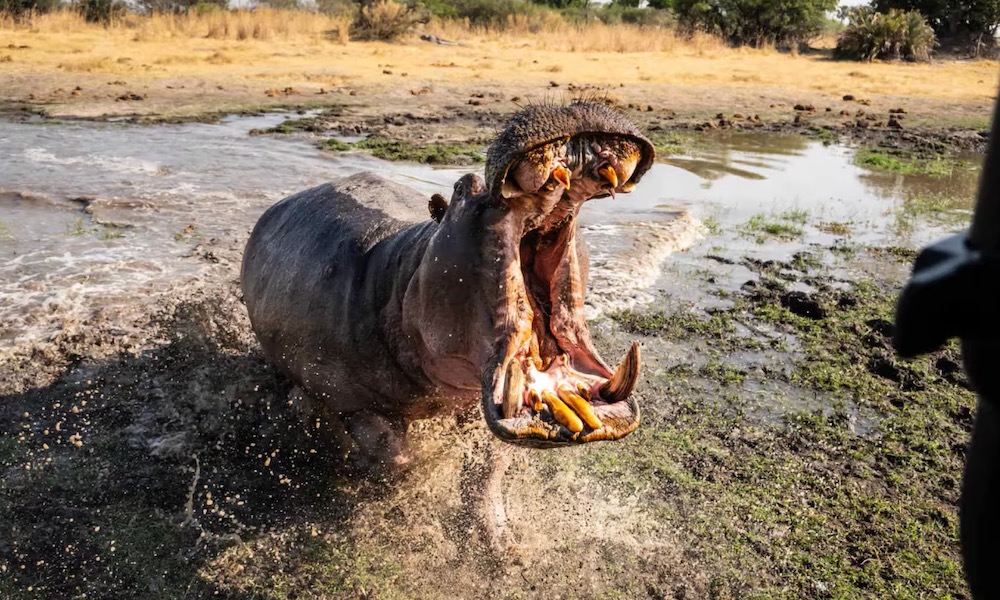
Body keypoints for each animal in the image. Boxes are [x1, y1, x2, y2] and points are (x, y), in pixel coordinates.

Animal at [242, 102, 656, 468]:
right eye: (462, 186)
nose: (568, 108)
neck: (404, 278)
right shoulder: (353, 405)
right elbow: (401, 461)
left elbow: (485, 474)